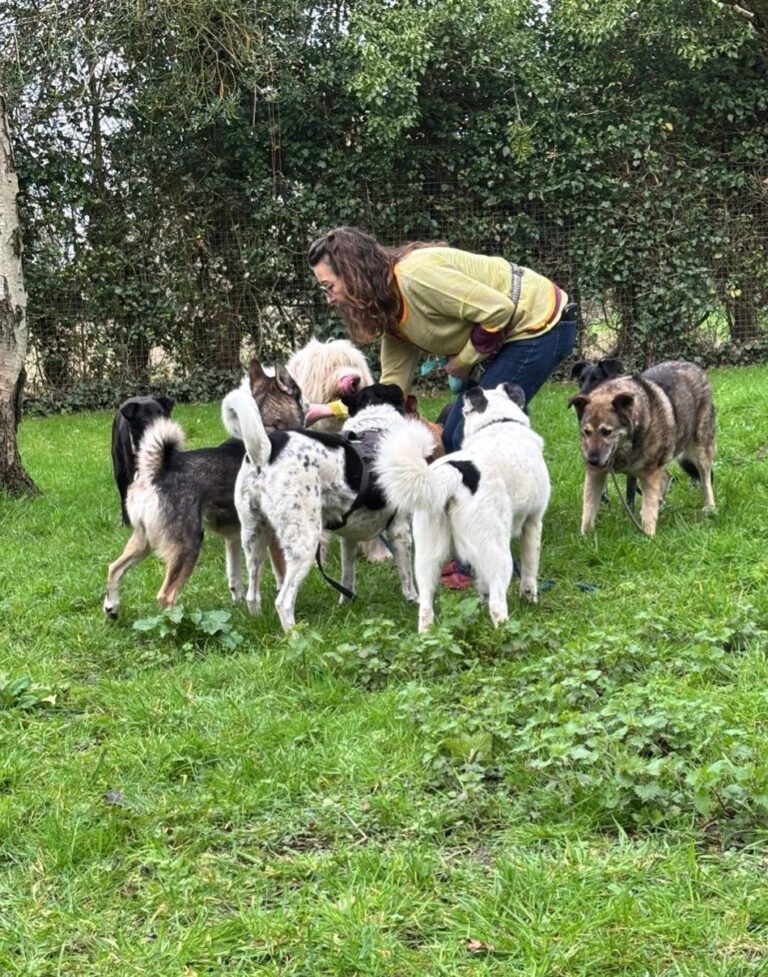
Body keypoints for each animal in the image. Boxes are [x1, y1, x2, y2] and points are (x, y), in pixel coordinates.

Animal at [221, 381, 418, 632]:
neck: (374, 424)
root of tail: (265, 452)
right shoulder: (400, 530)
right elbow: (407, 577)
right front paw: (414, 602)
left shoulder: (349, 537)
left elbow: (347, 576)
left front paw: (346, 603)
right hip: (305, 541)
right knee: (283, 602)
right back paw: (295, 636)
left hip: (254, 537)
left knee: (252, 595)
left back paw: (258, 622)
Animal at [375, 383, 551, 632]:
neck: (498, 422)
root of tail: (453, 473)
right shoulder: (533, 522)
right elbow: (529, 570)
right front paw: (529, 599)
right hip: (498, 551)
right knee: (497, 603)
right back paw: (506, 632)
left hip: (426, 556)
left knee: (425, 608)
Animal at [568, 360, 716, 537]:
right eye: (586, 432)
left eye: (607, 432)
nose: (592, 460)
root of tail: (693, 366)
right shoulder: (595, 475)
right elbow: (588, 509)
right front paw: (585, 537)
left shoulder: (650, 472)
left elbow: (647, 509)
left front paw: (648, 536)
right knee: (666, 478)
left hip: (700, 449)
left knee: (705, 479)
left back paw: (710, 507)